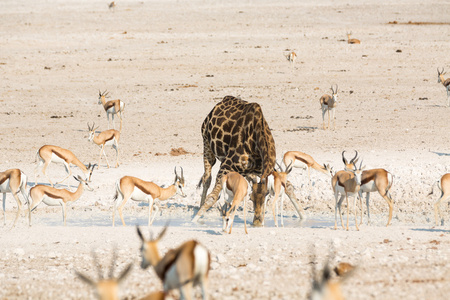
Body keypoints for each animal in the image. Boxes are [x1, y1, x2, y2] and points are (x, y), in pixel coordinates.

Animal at [192, 95, 302, 225]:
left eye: (266, 198)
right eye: (251, 198)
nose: (257, 223)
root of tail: (223, 100)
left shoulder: (261, 169)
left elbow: (288, 186)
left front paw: (303, 217)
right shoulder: (226, 165)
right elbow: (212, 197)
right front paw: (193, 221)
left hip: (244, 170)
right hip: (207, 145)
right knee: (206, 178)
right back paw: (201, 207)